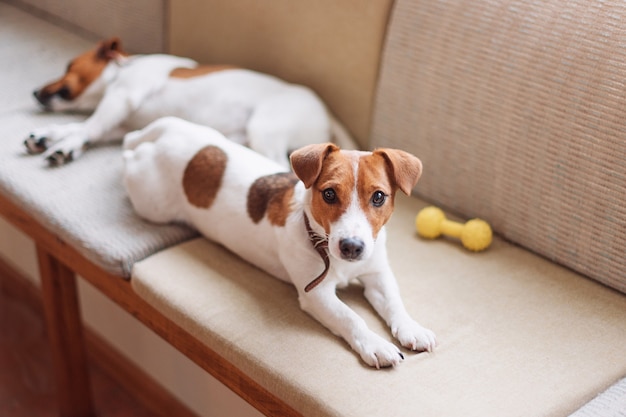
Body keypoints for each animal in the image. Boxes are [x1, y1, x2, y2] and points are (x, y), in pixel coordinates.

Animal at [26, 37, 354, 167]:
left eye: (68, 66)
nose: (34, 92)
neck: (120, 71)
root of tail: (327, 112)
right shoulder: (120, 124)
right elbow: (81, 127)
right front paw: (48, 136)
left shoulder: (122, 98)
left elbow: (87, 127)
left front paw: (64, 145)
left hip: (264, 128)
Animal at [120, 115, 434, 366]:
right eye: (329, 194)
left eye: (378, 196)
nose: (352, 247)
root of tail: (170, 130)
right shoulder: (317, 294)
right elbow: (350, 317)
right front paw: (376, 344)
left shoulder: (377, 274)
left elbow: (394, 302)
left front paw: (411, 327)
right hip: (150, 200)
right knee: (129, 151)